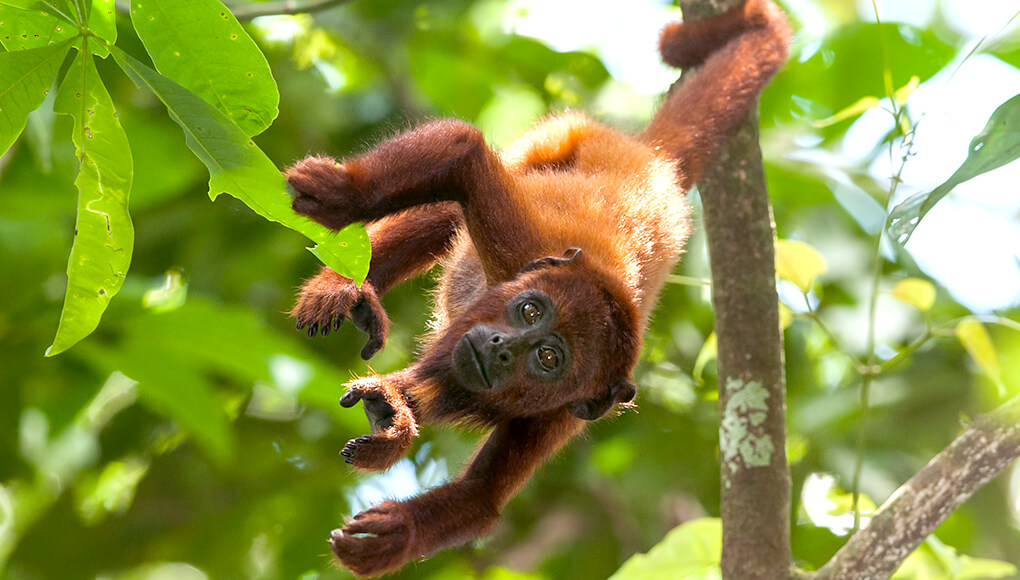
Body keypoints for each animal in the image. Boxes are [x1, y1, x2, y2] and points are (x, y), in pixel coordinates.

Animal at [283, 0, 791, 570]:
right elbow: (462, 152)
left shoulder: (564, 415)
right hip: (563, 138)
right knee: (452, 203)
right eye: (530, 311)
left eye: (549, 358)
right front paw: (341, 195)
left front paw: (393, 535)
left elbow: (480, 499)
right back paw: (343, 284)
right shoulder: (525, 255)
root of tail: (658, 164)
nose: (502, 346)